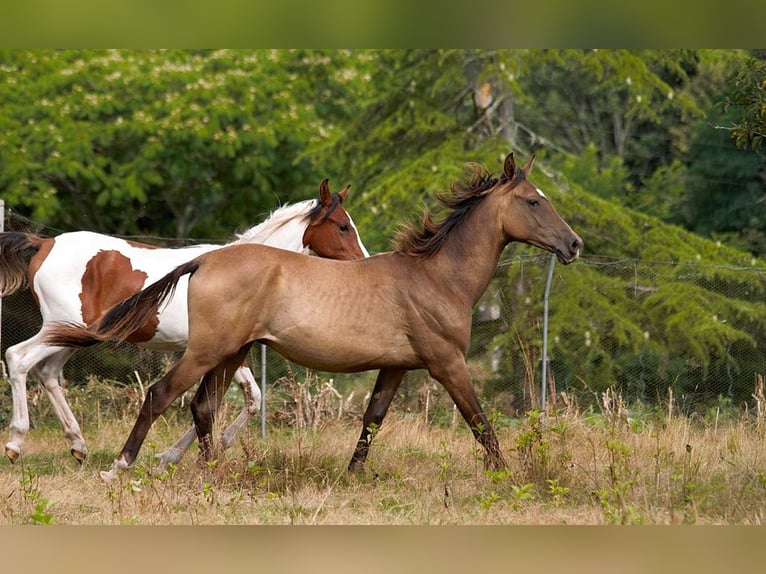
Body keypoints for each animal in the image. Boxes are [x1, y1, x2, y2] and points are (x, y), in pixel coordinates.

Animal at [0, 180, 370, 468]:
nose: (364, 262)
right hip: (63, 329)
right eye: (342, 226)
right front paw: (189, 452)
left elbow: (250, 397)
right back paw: (16, 444)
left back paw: (78, 445)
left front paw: (180, 454)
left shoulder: (225, 352)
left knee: (47, 372)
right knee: (18, 358)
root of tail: (46, 243)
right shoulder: (212, 349)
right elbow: (229, 399)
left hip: (74, 335)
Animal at [46, 153, 584, 482]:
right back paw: (118, 466)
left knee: (202, 406)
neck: (435, 277)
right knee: (161, 395)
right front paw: (508, 474)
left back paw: (213, 470)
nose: (574, 244)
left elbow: (373, 418)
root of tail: (204, 260)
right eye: (534, 200)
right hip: (207, 351)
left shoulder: (396, 367)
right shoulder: (446, 362)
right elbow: (479, 420)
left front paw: (353, 474)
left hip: (232, 352)